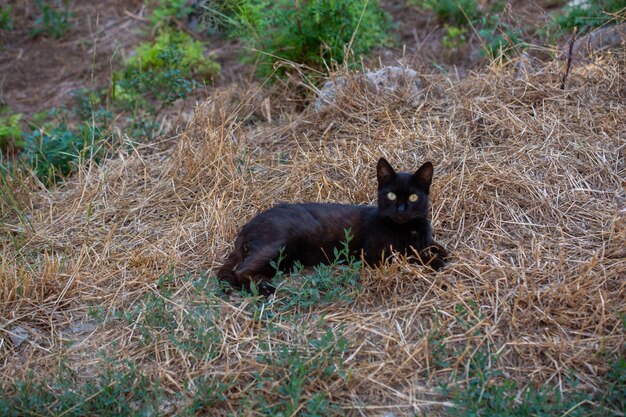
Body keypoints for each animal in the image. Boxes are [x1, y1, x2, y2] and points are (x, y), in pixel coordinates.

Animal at [217, 158, 446, 294]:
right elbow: (412, 257)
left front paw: (438, 253)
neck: (407, 228)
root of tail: (248, 226)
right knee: (240, 271)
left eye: (413, 197)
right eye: (391, 195)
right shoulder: (378, 255)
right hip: (279, 245)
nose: (401, 209)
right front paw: (435, 262)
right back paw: (264, 289)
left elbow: (437, 247)